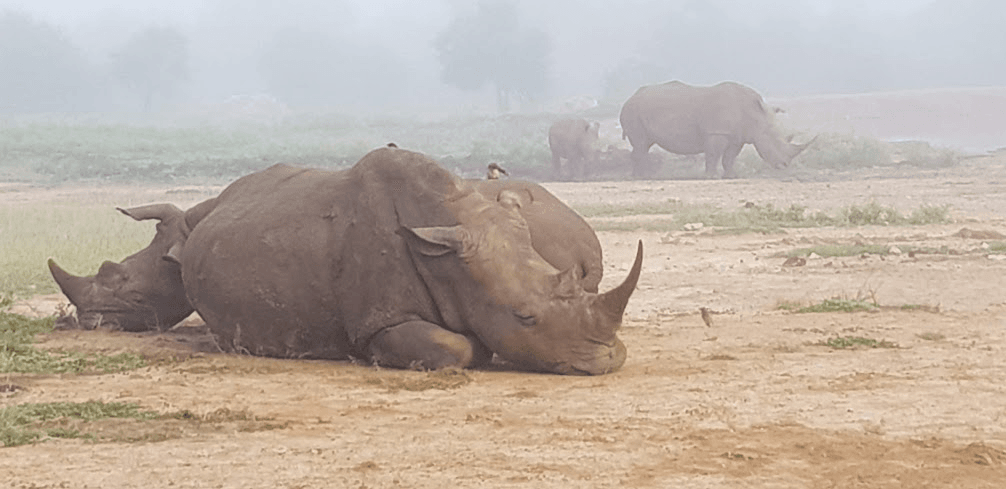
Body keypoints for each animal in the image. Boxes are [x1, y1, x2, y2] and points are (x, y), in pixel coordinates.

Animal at [619, 81, 813, 179]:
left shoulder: (737, 137)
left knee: (644, 144)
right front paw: (711, 177)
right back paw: (641, 177)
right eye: (774, 140)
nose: (784, 165)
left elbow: (729, 158)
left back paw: (640, 175)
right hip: (633, 111)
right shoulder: (717, 131)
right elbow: (713, 155)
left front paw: (731, 176)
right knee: (641, 144)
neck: (755, 115)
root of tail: (630, 97)